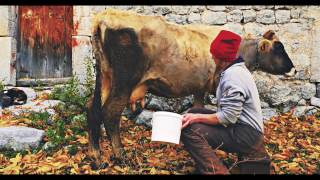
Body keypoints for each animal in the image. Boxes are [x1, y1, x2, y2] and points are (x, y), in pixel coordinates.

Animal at [86, 9, 296, 165]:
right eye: (279, 48)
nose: (294, 69)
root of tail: (106, 15)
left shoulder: (199, 87)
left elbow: (198, 107)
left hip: (105, 77)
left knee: (93, 109)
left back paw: (97, 157)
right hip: (124, 80)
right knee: (110, 113)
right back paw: (120, 156)